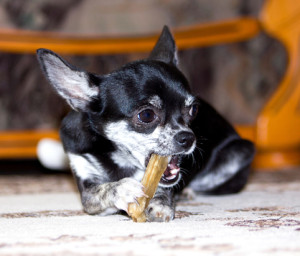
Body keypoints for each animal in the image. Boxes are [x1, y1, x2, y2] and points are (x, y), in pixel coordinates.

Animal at [36, 26, 254, 222]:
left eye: (193, 110)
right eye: (147, 115)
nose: (188, 137)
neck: (120, 158)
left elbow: (163, 189)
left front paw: (160, 203)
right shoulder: (86, 184)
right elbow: (100, 191)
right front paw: (122, 188)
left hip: (241, 150)